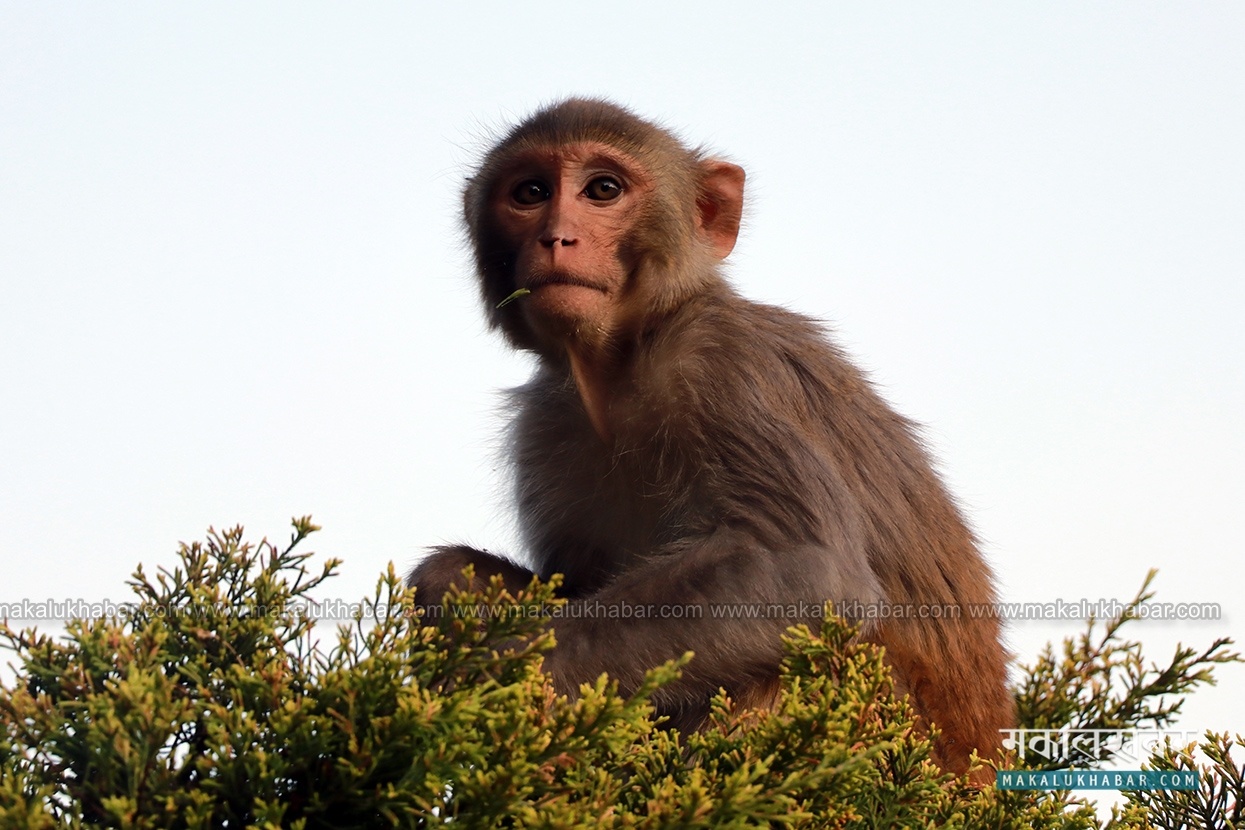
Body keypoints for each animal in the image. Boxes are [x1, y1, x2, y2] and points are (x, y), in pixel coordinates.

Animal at [409, 98, 1014, 780]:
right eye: (530, 193)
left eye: (603, 190)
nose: (556, 236)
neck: (624, 365)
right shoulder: (543, 425)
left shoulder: (722, 364)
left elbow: (804, 567)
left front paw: (511, 683)